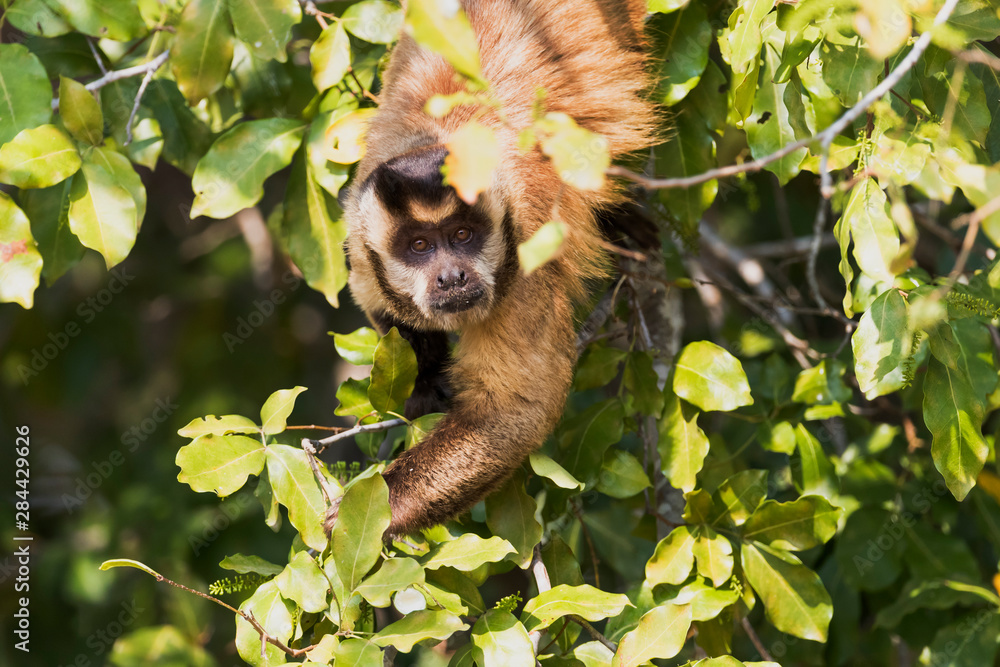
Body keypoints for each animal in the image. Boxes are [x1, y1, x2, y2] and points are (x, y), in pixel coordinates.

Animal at [328, 0, 656, 540]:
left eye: (463, 236)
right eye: (419, 246)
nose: (452, 277)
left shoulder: (524, 255)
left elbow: (513, 412)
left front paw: (376, 508)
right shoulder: (358, 239)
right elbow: (379, 306)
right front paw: (426, 383)